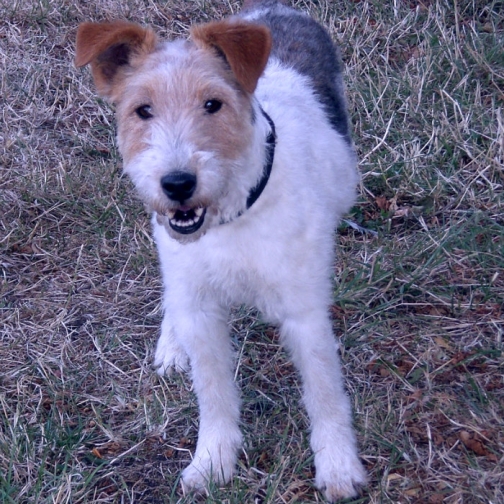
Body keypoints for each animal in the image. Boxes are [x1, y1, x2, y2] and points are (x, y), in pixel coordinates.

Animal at [75, 0, 367, 500]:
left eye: (213, 103)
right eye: (142, 110)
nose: (177, 184)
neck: (233, 212)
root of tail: (275, 9)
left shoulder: (303, 313)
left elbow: (324, 393)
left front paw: (338, 468)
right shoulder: (202, 311)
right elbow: (214, 395)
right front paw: (212, 462)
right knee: (174, 293)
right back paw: (173, 344)